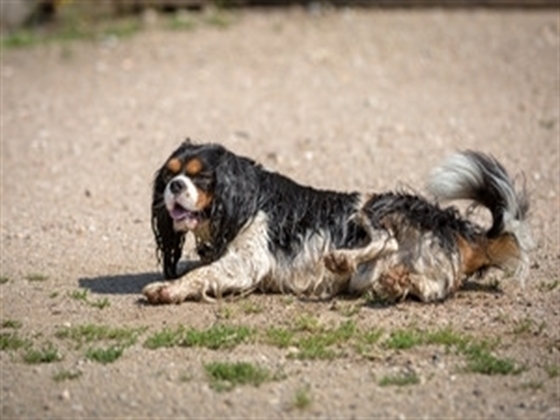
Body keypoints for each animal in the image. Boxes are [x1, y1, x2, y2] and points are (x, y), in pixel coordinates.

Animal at [142, 139, 532, 304]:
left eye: (201, 177)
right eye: (170, 175)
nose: (175, 186)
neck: (245, 200)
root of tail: (458, 228)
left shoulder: (248, 261)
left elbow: (202, 274)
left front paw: (167, 289)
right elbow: (204, 268)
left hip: (375, 205)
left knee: (386, 239)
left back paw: (341, 258)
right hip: (384, 273)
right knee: (432, 289)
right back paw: (397, 283)